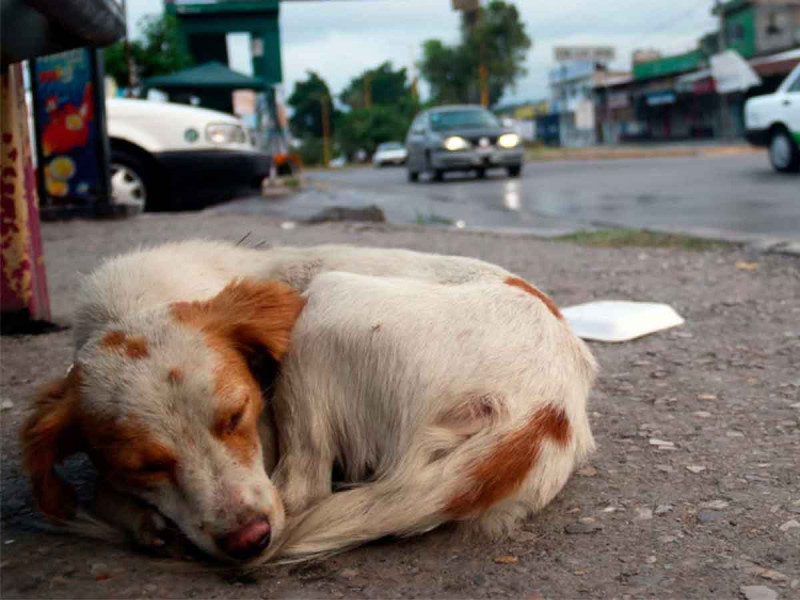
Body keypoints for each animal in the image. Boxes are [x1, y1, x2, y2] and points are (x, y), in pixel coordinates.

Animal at [20, 240, 592, 564]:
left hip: (324, 304)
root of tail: (545, 407)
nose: (248, 542)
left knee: (303, 488)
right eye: (145, 465)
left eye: (237, 415)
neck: (129, 306)